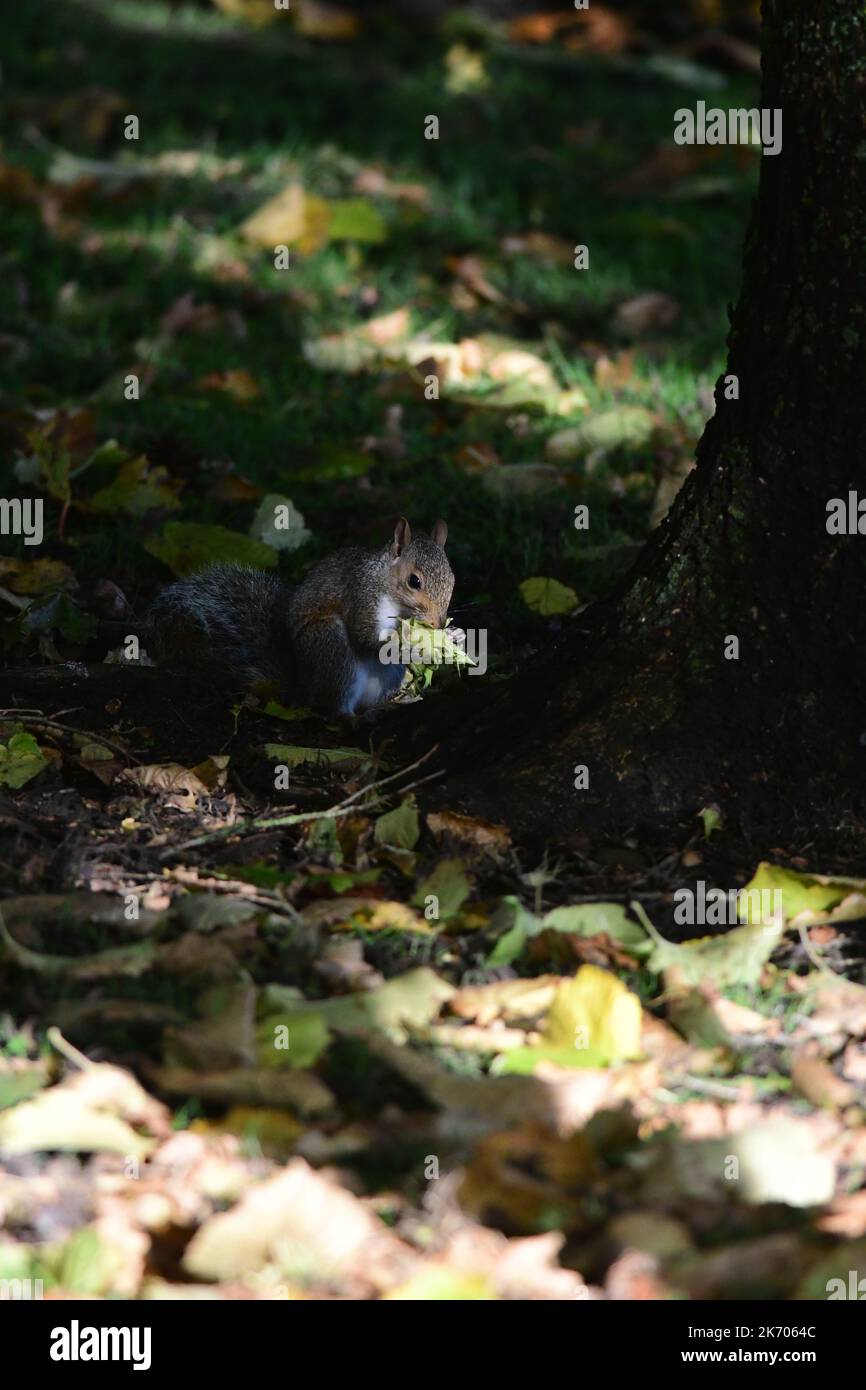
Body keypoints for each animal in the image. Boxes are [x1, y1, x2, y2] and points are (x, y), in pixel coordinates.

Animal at [143, 519, 453, 717]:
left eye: (452, 580)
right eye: (414, 581)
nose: (438, 623)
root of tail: (301, 686)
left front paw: (450, 637)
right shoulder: (361, 596)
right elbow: (365, 637)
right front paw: (412, 645)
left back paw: (379, 709)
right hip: (330, 645)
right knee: (332, 706)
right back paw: (349, 716)